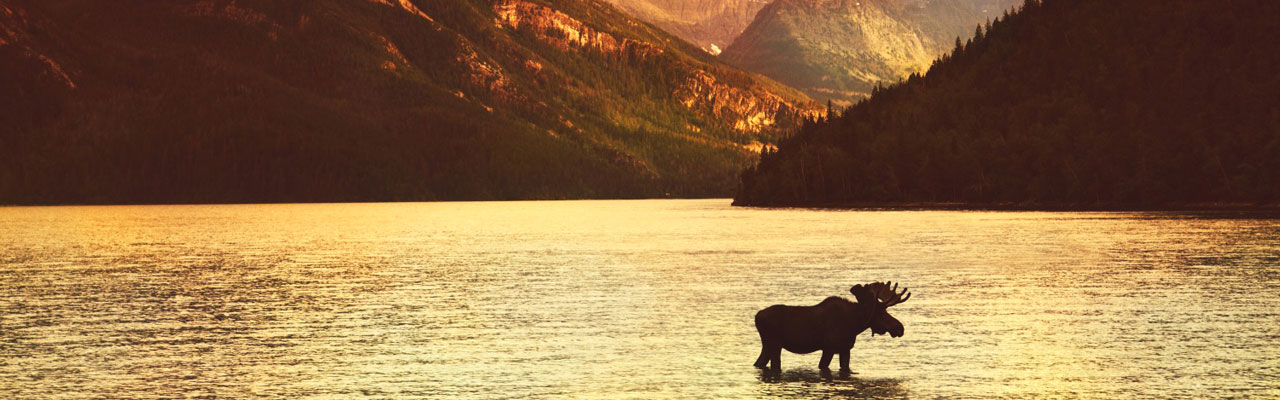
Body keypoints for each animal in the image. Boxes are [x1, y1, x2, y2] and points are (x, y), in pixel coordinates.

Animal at [747, 283, 911, 374]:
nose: (900, 328)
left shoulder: (845, 349)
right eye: (881, 312)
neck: (855, 324)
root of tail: (756, 317)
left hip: (769, 346)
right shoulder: (829, 348)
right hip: (774, 344)